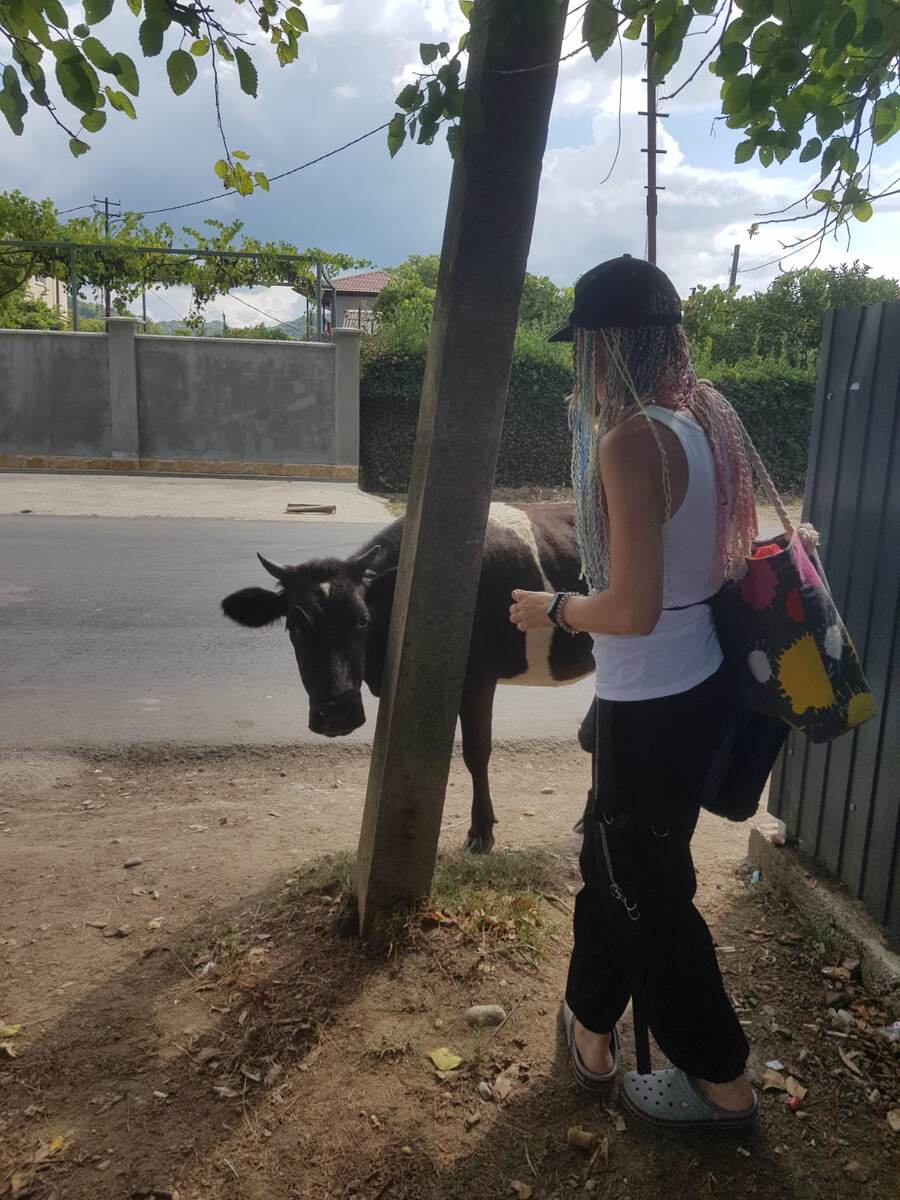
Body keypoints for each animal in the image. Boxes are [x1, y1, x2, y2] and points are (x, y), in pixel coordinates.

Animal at [222, 501, 595, 849]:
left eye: (362, 621)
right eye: (294, 627)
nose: (337, 712)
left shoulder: (478, 675)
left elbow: (476, 751)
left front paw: (480, 831)